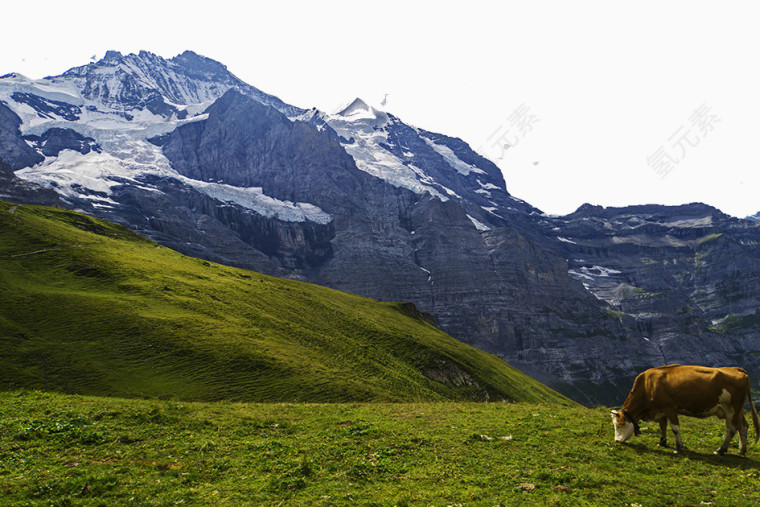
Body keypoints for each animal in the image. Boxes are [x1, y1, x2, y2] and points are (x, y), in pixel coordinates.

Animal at [612, 366, 760, 456]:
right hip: (738, 410)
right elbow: (663, 426)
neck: (648, 384)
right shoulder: (660, 410)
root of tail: (736, 369)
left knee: (732, 429)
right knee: (743, 426)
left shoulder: (670, 409)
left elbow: (675, 429)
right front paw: (662, 442)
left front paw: (678, 447)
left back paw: (721, 450)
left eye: (619, 425)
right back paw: (742, 450)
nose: (617, 441)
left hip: (731, 410)